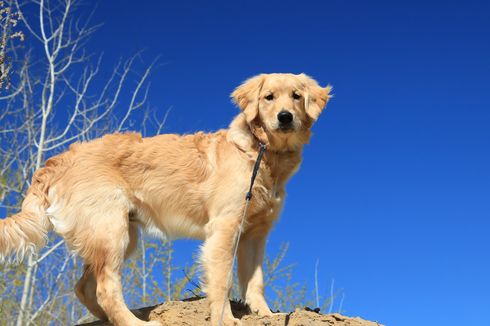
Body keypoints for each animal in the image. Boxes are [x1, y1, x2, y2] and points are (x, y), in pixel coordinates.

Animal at [0, 72, 332, 324]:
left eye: (296, 96)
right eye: (269, 97)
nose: (285, 117)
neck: (261, 153)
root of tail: (58, 160)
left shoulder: (254, 235)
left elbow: (255, 282)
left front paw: (266, 315)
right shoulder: (224, 228)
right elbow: (222, 282)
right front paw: (226, 319)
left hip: (120, 234)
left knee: (84, 287)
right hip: (111, 231)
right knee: (105, 289)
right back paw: (135, 322)